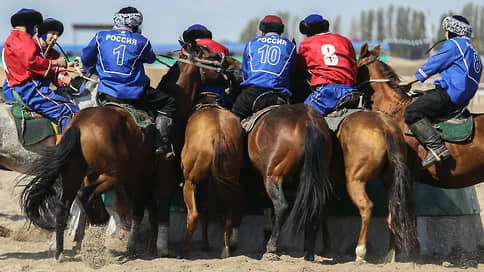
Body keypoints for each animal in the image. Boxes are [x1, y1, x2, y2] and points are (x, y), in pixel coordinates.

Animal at [248, 103, 334, 260]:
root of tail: (308, 121)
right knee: (316, 207)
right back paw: (309, 254)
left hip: (272, 176)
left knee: (281, 206)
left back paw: (271, 246)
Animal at [332, 110, 420, 262]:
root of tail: (385, 126)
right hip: (390, 181)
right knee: (393, 214)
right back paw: (390, 255)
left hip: (355, 181)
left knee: (366, 207)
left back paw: (360, 252)